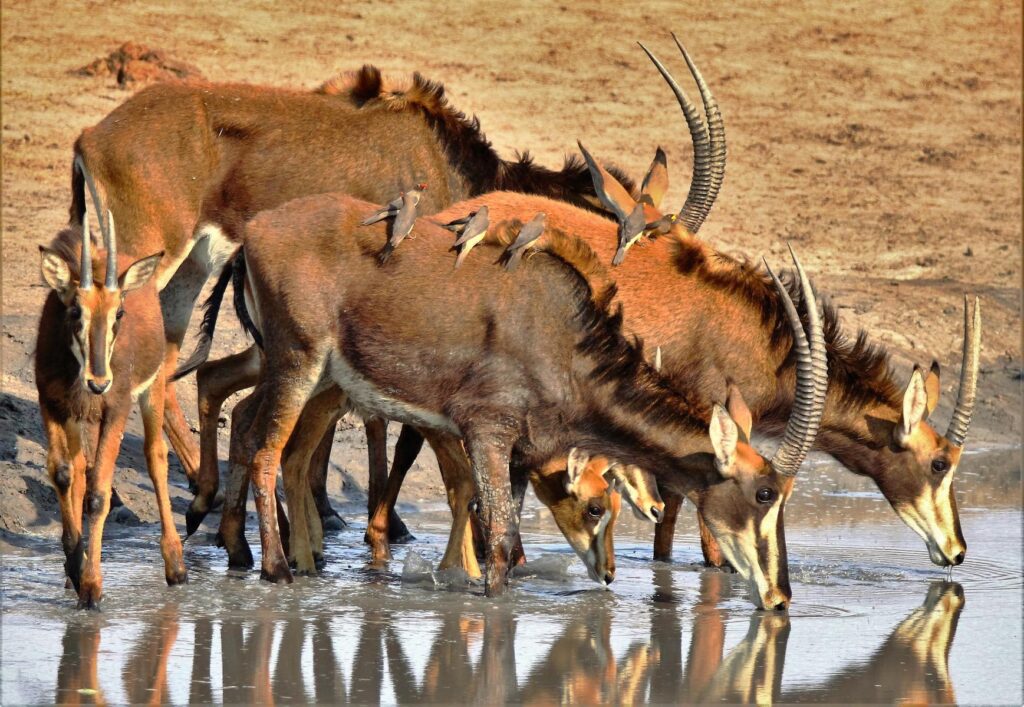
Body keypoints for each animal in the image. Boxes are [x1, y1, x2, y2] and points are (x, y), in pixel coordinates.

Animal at [35, 159, 187, 606]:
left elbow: (100, 493)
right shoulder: (51, 403)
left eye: (118, 313)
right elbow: (64, 474)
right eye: (74, 311)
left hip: (150, 391)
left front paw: (92, 586)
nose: (98, 382)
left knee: (156, 457)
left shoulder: (116, 410)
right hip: (78, 415)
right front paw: (75, 565)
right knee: (77, 469)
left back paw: (176, 565)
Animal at [214, 189, 823, 602]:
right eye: (765, 494)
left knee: (250, 427)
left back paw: (246, 553)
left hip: (314, 375)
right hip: (298, 362)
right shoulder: (487, 430)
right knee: (268, 451)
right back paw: (276, 569)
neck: (562, 338)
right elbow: (501, 537)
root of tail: (255, 232)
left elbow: (494, 529)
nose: (780, 596)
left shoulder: (517, 452)